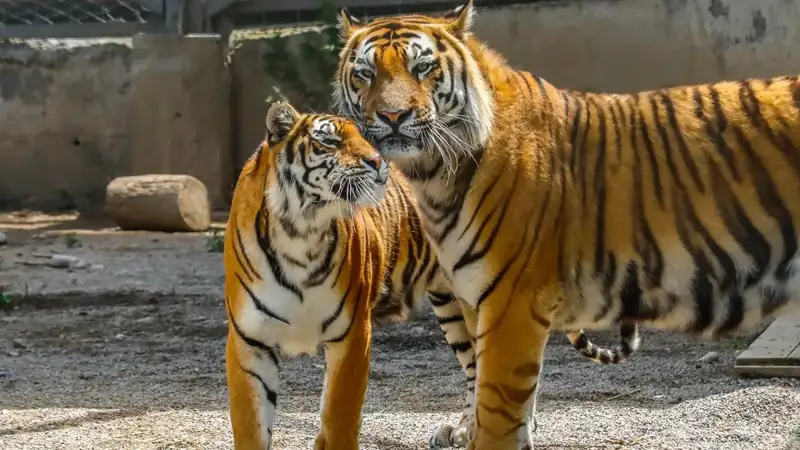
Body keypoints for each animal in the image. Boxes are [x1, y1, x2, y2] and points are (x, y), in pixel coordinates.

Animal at [223, 100, 640, 449]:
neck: (301, 231)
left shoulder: (352, 333)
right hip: (450, 305)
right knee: (476, 370)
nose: (377, 163)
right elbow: (250, 425)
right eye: (329, 141)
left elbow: (340, 419)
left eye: (364, 138)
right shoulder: (249, 340)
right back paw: (465, 430)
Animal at [332, 1, 800, 449]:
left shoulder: (510, 301)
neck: (435, 173)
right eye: (366, 73)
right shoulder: (477, 296)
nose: (393, 116)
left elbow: (498, 415)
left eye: (422, 68)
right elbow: (491, 389)